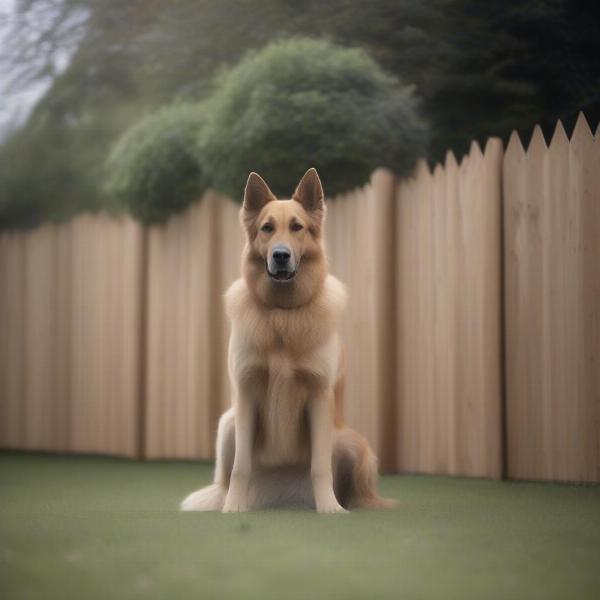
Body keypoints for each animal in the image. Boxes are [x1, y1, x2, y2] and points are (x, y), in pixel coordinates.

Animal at [180, 170, 392, 516]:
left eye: (297, 227)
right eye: (267, 228)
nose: (281, 255)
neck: (282, 314)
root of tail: (285, 492)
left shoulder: (319, 396)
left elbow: (320, 466)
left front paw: (330, 508)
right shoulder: (246, 396)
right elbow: (240, 467)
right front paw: (234, 508)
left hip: (353, 444)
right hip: (228, 424)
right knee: (226, 478)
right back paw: (229, 500)